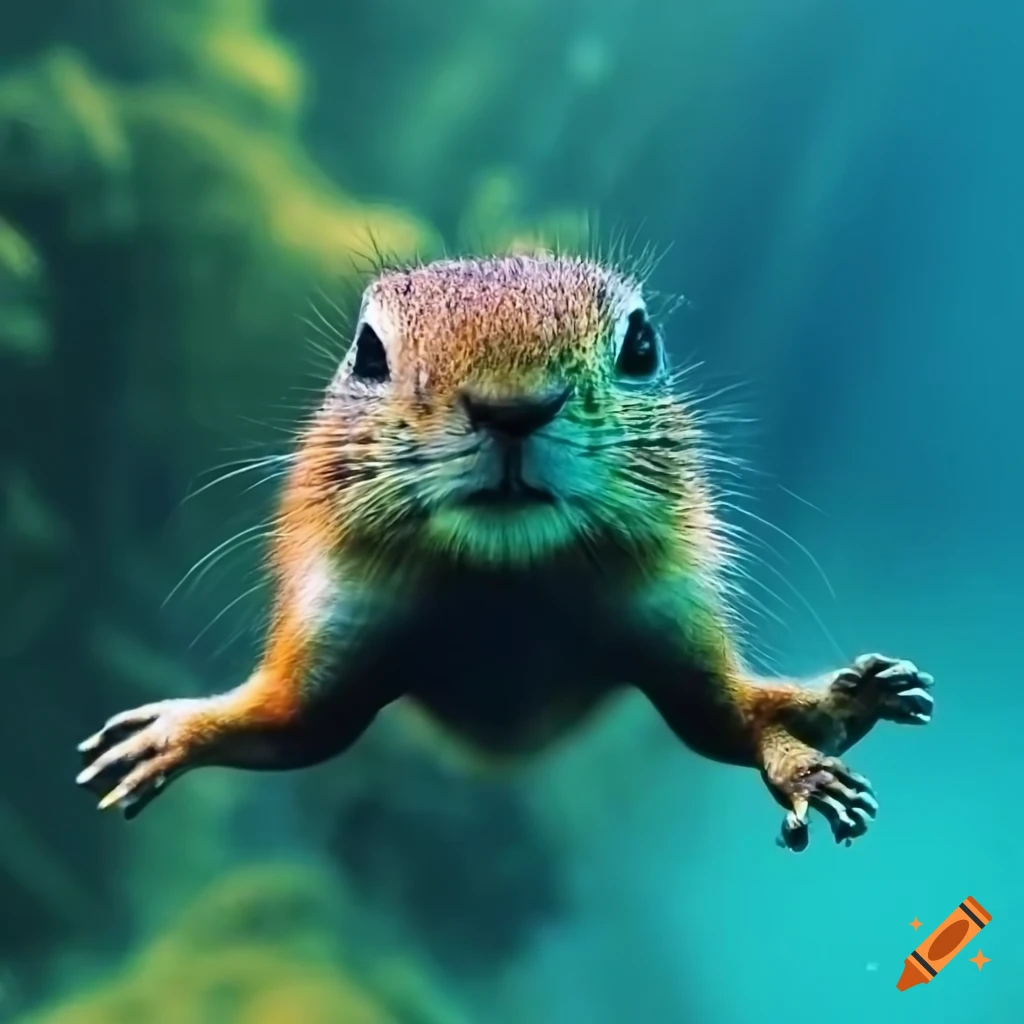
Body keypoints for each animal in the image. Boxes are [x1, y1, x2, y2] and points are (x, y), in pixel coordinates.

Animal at [77, 253, 934, 851]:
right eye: (368, 352)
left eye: (642, 345)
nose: (512, 410)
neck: (505, 580)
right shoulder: (337, 638)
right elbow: (287, 725)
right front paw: (168, 735)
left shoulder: (671, 625)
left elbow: (731, 722)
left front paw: (809, 769)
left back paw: (860, 696)